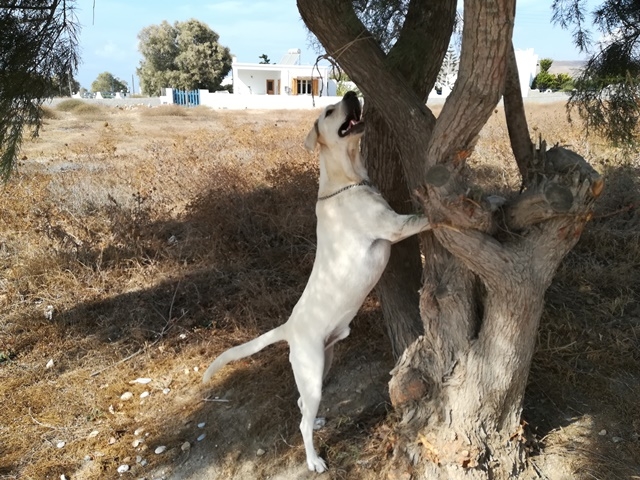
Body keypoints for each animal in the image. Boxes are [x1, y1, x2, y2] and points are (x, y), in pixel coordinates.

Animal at [201, 91, 430, 472]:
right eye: (329, 110)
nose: (351, 93)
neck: (346, 181)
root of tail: (289, 328)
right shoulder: (393, 226)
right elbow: (425, 217)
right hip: (312, 372)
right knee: (301, 423)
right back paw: (313, 459)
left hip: (326, 360)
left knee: (301, 407)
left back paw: (319, 420)